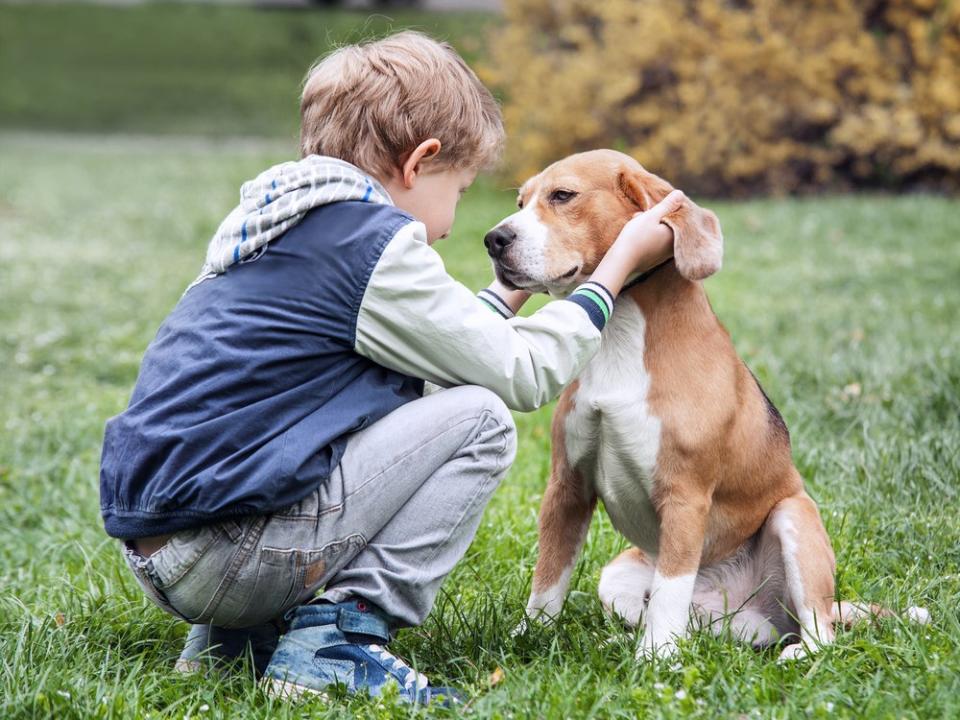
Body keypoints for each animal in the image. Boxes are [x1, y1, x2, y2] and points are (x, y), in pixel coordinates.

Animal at [484, 149, 928, 660]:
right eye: (521, 202)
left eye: (562, 195)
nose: (494, 240)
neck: (620, 334)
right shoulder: (567, 487)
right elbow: (548, 580)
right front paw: (528, 638)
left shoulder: (685, 495)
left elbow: (671, 587)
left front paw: (655, 661)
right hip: (618, 575)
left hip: (794, 518)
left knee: (820, 635)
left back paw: (791, 652)